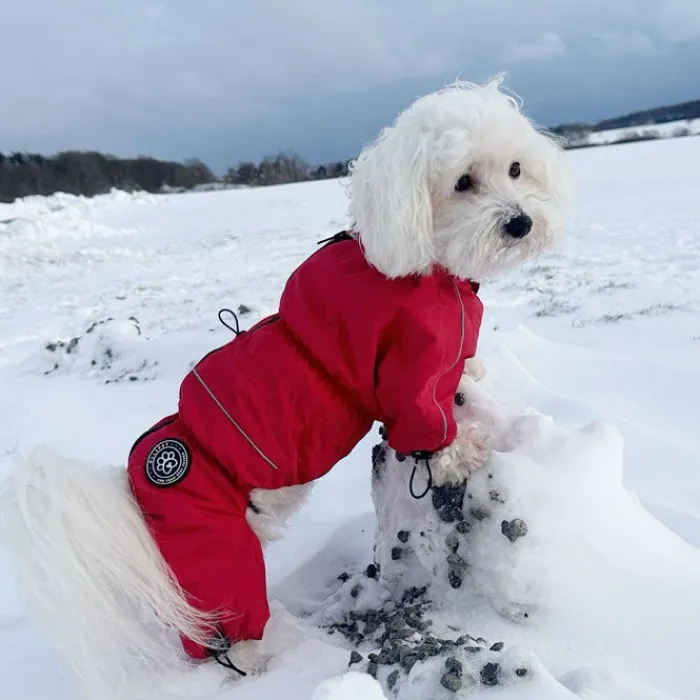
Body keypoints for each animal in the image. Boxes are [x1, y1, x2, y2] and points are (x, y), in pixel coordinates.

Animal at [0, 78, 568, 700]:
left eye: (516, 168)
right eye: (463, 182)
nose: (519, 222)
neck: (424, 266)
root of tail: (132, 490)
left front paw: (472, 376)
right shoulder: (408, 374)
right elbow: (425, 426)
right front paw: (461, 449)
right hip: (220, 563)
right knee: (225, 641)